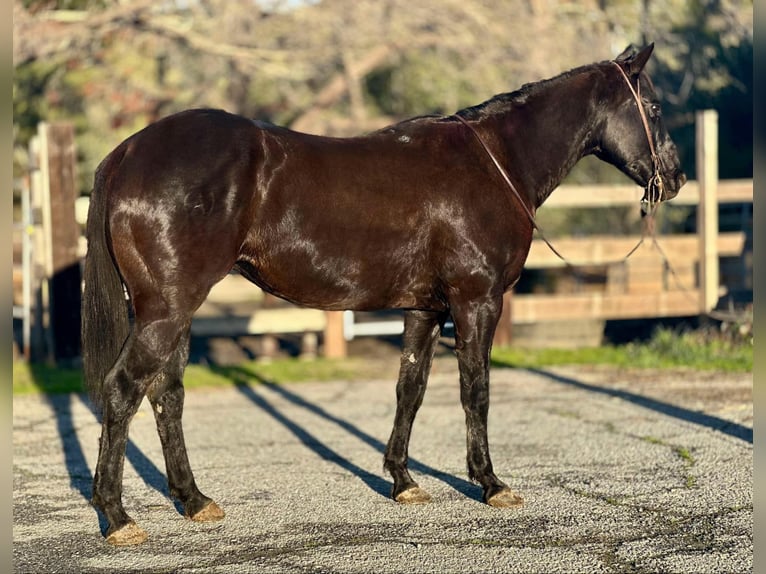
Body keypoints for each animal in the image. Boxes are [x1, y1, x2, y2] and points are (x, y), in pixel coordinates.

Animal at [81, 43, 686, 545]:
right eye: (654, 108)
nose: (676, 178)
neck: (494, 163)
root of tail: (128, 152)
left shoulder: (424, 309)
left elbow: (409, 390)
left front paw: (403, 481)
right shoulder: (477, 301)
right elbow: (476, 392)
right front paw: (491, 484)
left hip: (174, 311)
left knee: (167, 394)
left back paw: (193, 500)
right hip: (166, 310)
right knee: (123, 390)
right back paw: (117, 517)